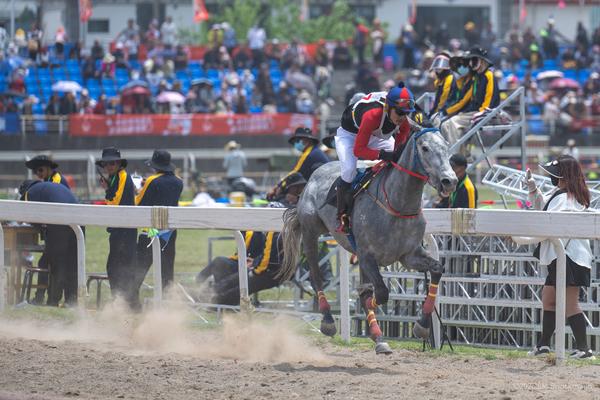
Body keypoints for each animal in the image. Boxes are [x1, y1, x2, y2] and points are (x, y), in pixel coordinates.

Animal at [278, 127, 458, 354]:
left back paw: (378, 336)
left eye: (447, 145)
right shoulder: (367, 256)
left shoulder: (409, 255)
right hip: (311, 231)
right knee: (316, 274)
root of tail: (315, 175)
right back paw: (328, 321)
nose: (449, 181)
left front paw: (421, 326)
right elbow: (380, 293)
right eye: (425, 148)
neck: (397, 205)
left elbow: (435, 269)